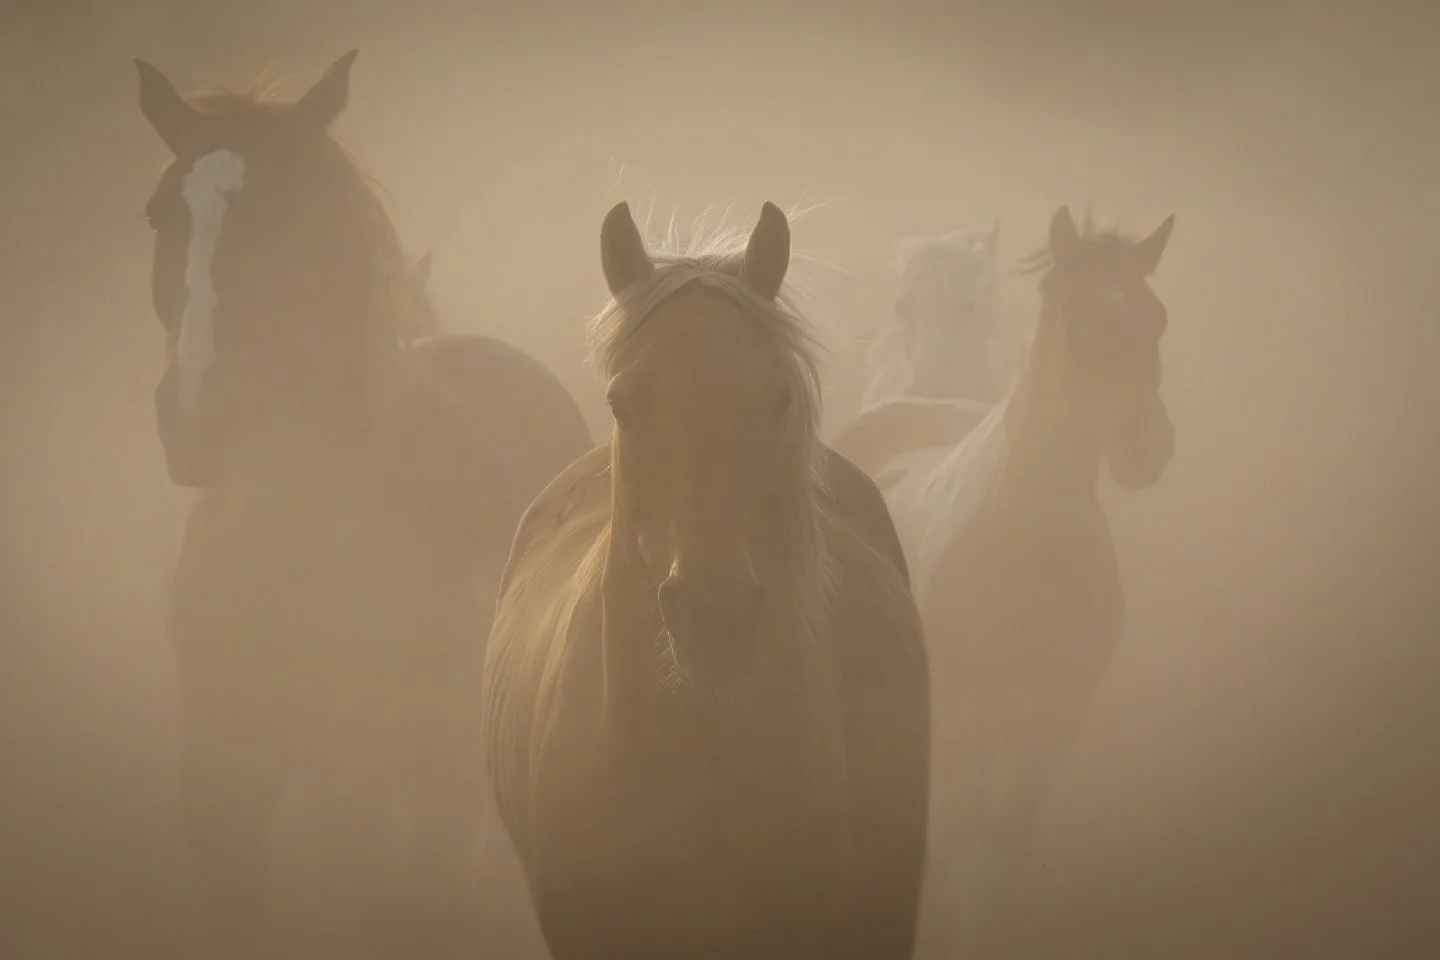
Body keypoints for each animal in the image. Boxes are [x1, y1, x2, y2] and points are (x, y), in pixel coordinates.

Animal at [913, 205, 1178, 955]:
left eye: (1156, 318)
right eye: (1077, 318)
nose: (1147, 447)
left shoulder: (1051, 722)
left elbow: (1005, 859)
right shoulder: (965, 731)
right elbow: (970, 865)